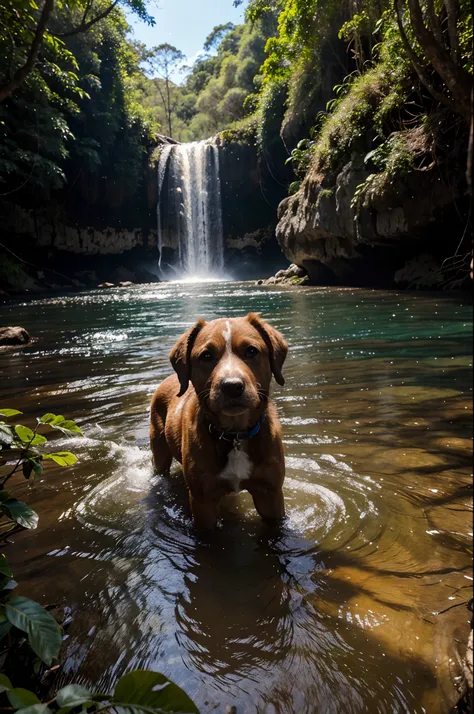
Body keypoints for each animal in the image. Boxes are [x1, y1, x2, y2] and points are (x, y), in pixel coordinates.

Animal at [150, 312, 286, 528]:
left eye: (251, 351)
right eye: (206, 356)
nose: (232, 386)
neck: (234, 434)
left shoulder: (270, 494)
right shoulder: (202, 503)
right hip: (159, 451)